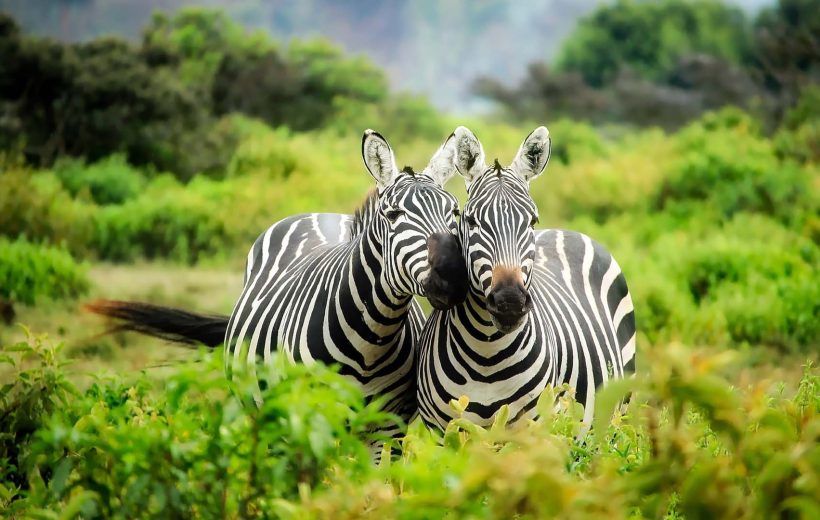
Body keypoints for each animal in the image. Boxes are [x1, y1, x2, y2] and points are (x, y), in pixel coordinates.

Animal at [89, 128, 468, 436]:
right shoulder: (308, 417)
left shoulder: (388, 427)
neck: (371, 340)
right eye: (393, 215)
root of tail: (319, 214)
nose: (453, 276)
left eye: (454, 212)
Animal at [416, 126, 636, 430]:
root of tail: (566, 231)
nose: (509, 302)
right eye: (470, 221)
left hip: (616, 414)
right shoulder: (442, 431)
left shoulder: (532, 428)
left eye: (532, 221)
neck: (486, 355)